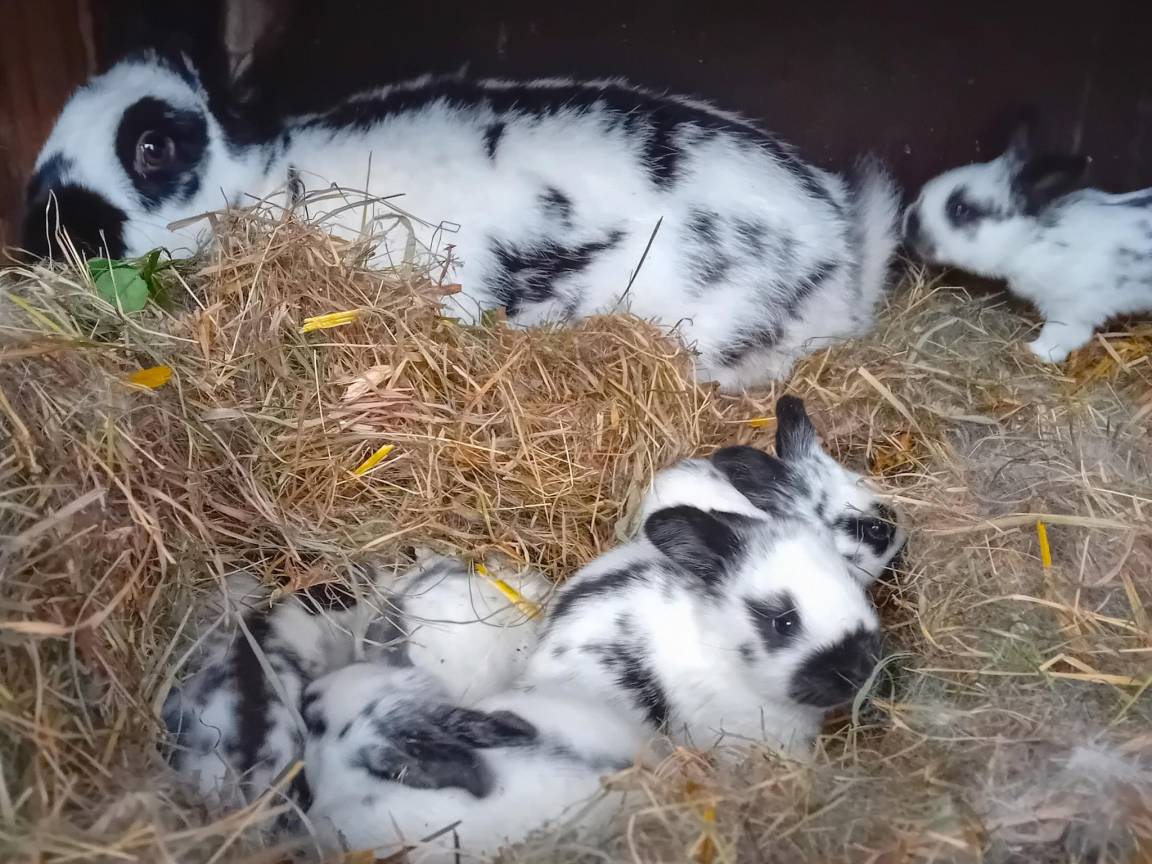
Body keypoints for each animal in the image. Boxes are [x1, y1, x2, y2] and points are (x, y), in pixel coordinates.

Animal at [903, 120, 1152, 362]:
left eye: (961, 209)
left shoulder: (1070, 310)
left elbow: (1059, 337)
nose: (908, 221)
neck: (1034, 240)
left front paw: (1032, 350)